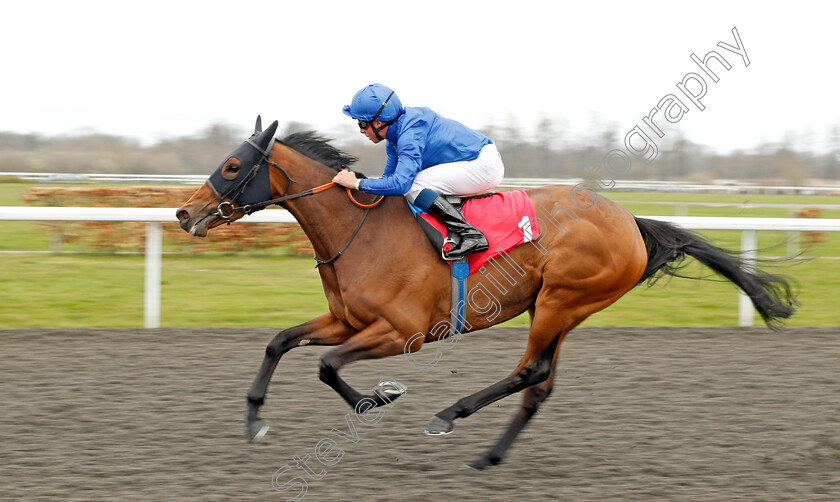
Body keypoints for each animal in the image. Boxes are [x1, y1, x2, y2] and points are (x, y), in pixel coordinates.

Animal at [176, 117, 796, 470]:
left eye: (231, 165)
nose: (184, 213)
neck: (360, 230)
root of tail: (630, 221)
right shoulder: (348, 321)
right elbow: (280, 342)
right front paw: (255, 423)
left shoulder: (401, 333)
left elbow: (328, 366)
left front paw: (378, 397)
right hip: (562, 308)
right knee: (540, 384)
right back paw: (489, 456)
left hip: (561, 300)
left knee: (529, 372)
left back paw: (450, 415)